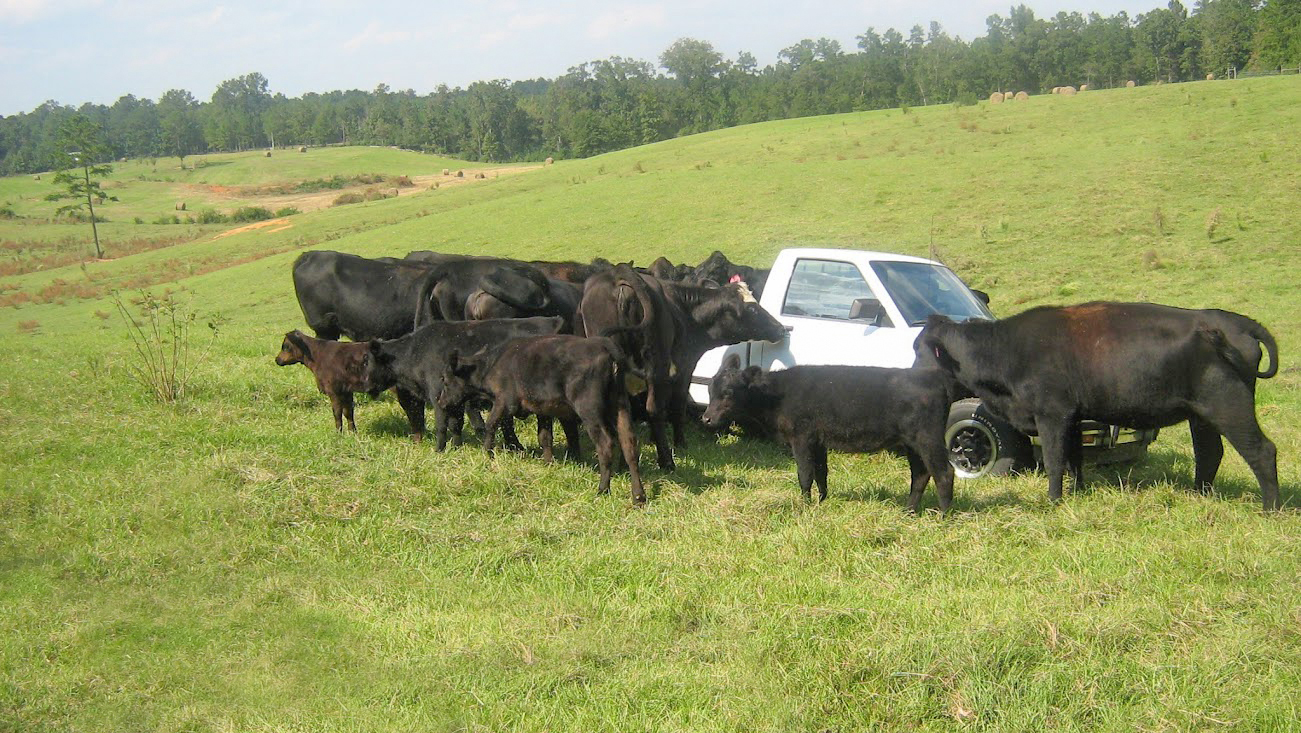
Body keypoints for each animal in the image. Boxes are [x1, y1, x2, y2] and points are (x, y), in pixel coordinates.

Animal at [356, 313, 564, 447]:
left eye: (367, 360)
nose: (364, 385)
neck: (415, 351)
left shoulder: (438, 396)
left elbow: (442, 425)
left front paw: (439, 450)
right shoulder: (454, 399)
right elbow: (456, 425)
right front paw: (456, 447)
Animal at [442, 333, 645, 502]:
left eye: (445, 379)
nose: (441, 401)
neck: (493, 363)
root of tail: (605, 346)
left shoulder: (504, 401)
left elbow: (491, 424)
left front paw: (487, 454)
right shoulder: (543, 408)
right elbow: (544, 436)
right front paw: (548, 463)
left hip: (590, 410)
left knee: (606, 444)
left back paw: (603, 489)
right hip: (620, 406)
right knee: (629, 444)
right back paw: (638, 496)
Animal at [702, 359, 957, 510]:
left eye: (728, 392)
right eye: (710, 389)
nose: (706, 418)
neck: (777, 395)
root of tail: (934, 376)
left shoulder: (802, 437)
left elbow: (805, 474)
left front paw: (804, 506)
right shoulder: (818, 441)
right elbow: (821, 473)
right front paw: (821, 502)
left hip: (928, 438)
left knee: (944, 473)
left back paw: (943, 516)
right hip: (913, 443)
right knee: (921, 474)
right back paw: (908, 511)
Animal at [915, 300, 1280, 507]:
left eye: (921, 349)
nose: (910, 373)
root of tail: (1230, 320)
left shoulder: (1052, 415)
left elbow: (1055, 461)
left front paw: (1053, 502)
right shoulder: (1074, 418)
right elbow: (1074, 459)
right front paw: (1077, 493)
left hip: (1228, 404)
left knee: (1261, 450)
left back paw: (1270, 508)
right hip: (1201, 414)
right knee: (1209, 452)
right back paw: (1199, 496)